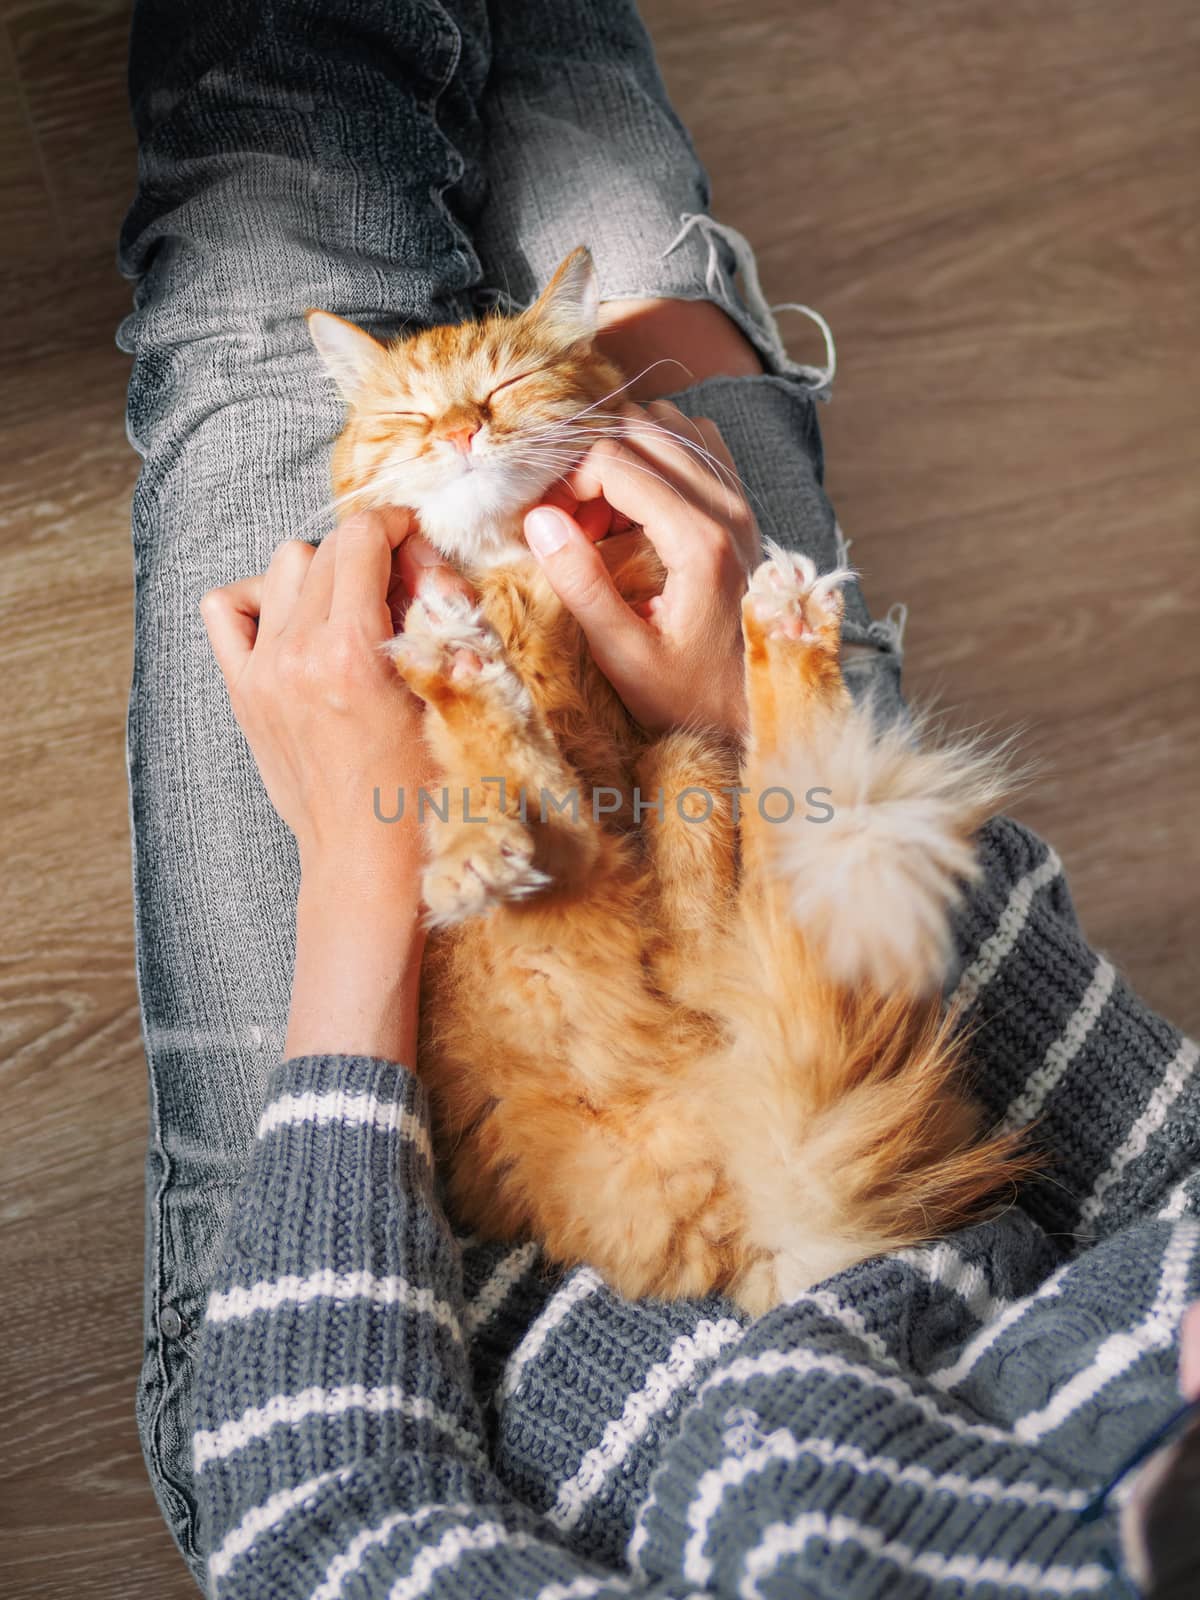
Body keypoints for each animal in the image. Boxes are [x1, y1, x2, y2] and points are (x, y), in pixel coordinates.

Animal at [305, 249, 1030, 1312]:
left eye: (508, 386)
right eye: (408, 415)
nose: (460, 430)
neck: (515, 574)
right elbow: (482, 767)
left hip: (669, 783)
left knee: (690, 886)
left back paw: (767, 629)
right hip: (575, 897)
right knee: (557, 812)